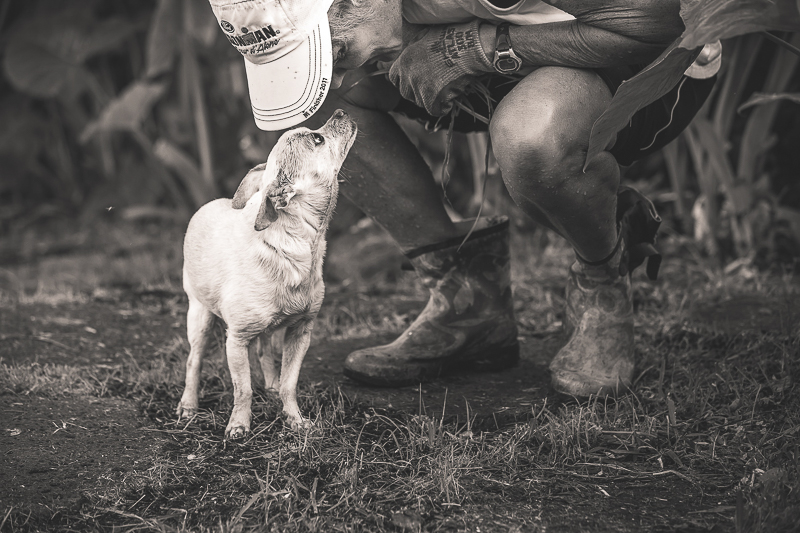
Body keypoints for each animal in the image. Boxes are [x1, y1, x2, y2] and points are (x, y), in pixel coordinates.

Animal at [181, 110, 360, 438]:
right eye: (317, 138)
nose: (340, 111)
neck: (300, 244)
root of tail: (210, 203)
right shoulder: (236, 340)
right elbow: (243, 389)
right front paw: (239, 425)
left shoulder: (300, 332)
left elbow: (290, 382)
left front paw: (295, 420)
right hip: (199, 316)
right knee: (194, 359)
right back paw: (188, 405)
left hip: (266, 330)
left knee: (265, 353)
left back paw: (272, 387)